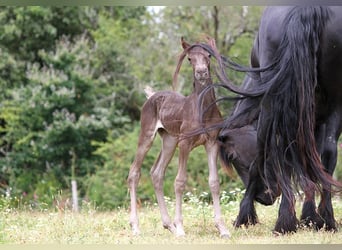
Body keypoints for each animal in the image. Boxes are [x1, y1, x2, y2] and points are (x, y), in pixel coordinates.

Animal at [127, 36, 230, 236]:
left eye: (208, 55)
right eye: (190, 58)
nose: (201, 72)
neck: (204, 111)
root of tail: (151, 96)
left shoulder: (212, 143)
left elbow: (214, 182)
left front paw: (222, 228)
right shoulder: (185, 143)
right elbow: (180, 181)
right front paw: (181, 227)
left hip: (169, 140)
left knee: (157, 173)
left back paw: (169, 225)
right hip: (148, 136)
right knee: (134, 172)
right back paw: (136, 226)